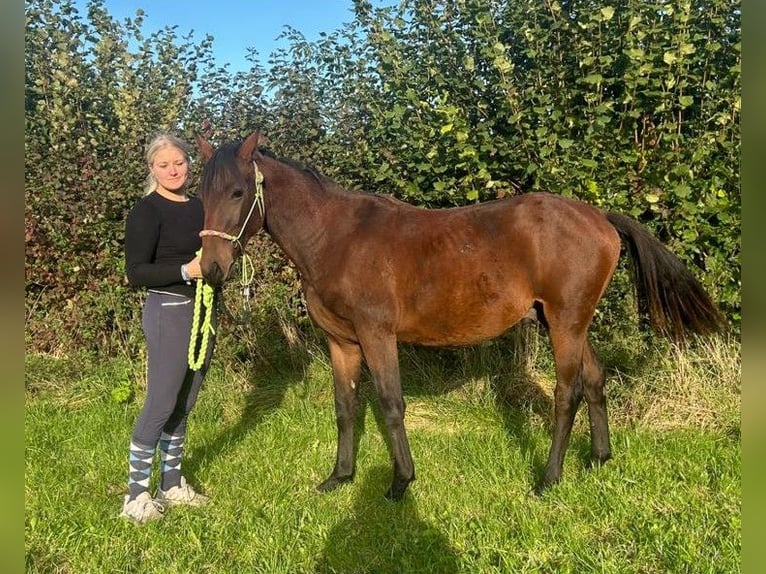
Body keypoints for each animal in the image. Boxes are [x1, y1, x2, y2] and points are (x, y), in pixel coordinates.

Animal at [194, 133, 728, 502]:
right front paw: (339, 478)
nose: (212, 269)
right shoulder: (342, 343)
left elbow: (391, 405)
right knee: (595, 380)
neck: (337, 239)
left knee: (568, 393)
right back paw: (598, 460)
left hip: (566, 323)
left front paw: (399, 484)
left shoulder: (377, 335)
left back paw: (549, 479)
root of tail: (600, 218)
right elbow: (345, 408)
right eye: (202, 193)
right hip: (566, 322)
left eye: (238, 192)